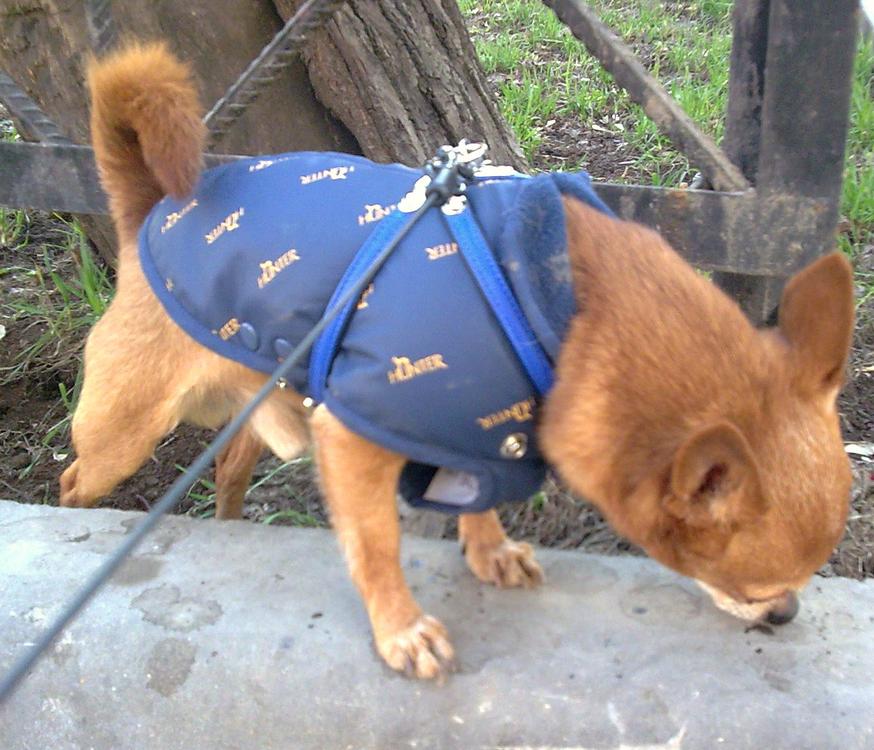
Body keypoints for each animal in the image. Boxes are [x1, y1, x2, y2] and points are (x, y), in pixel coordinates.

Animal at [60, 43, 855, 680]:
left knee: (228, 466)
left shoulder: (477, 436)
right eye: (754, 585)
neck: (556, 303)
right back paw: (68, 527)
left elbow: (480, 499)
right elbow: (375, 544)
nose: (785, 614)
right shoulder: (356, 436)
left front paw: (490, 551)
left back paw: (228, 526)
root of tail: (150, 209)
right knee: (77, 480)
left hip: (258, 397)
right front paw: (401, 628)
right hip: (122, 433)